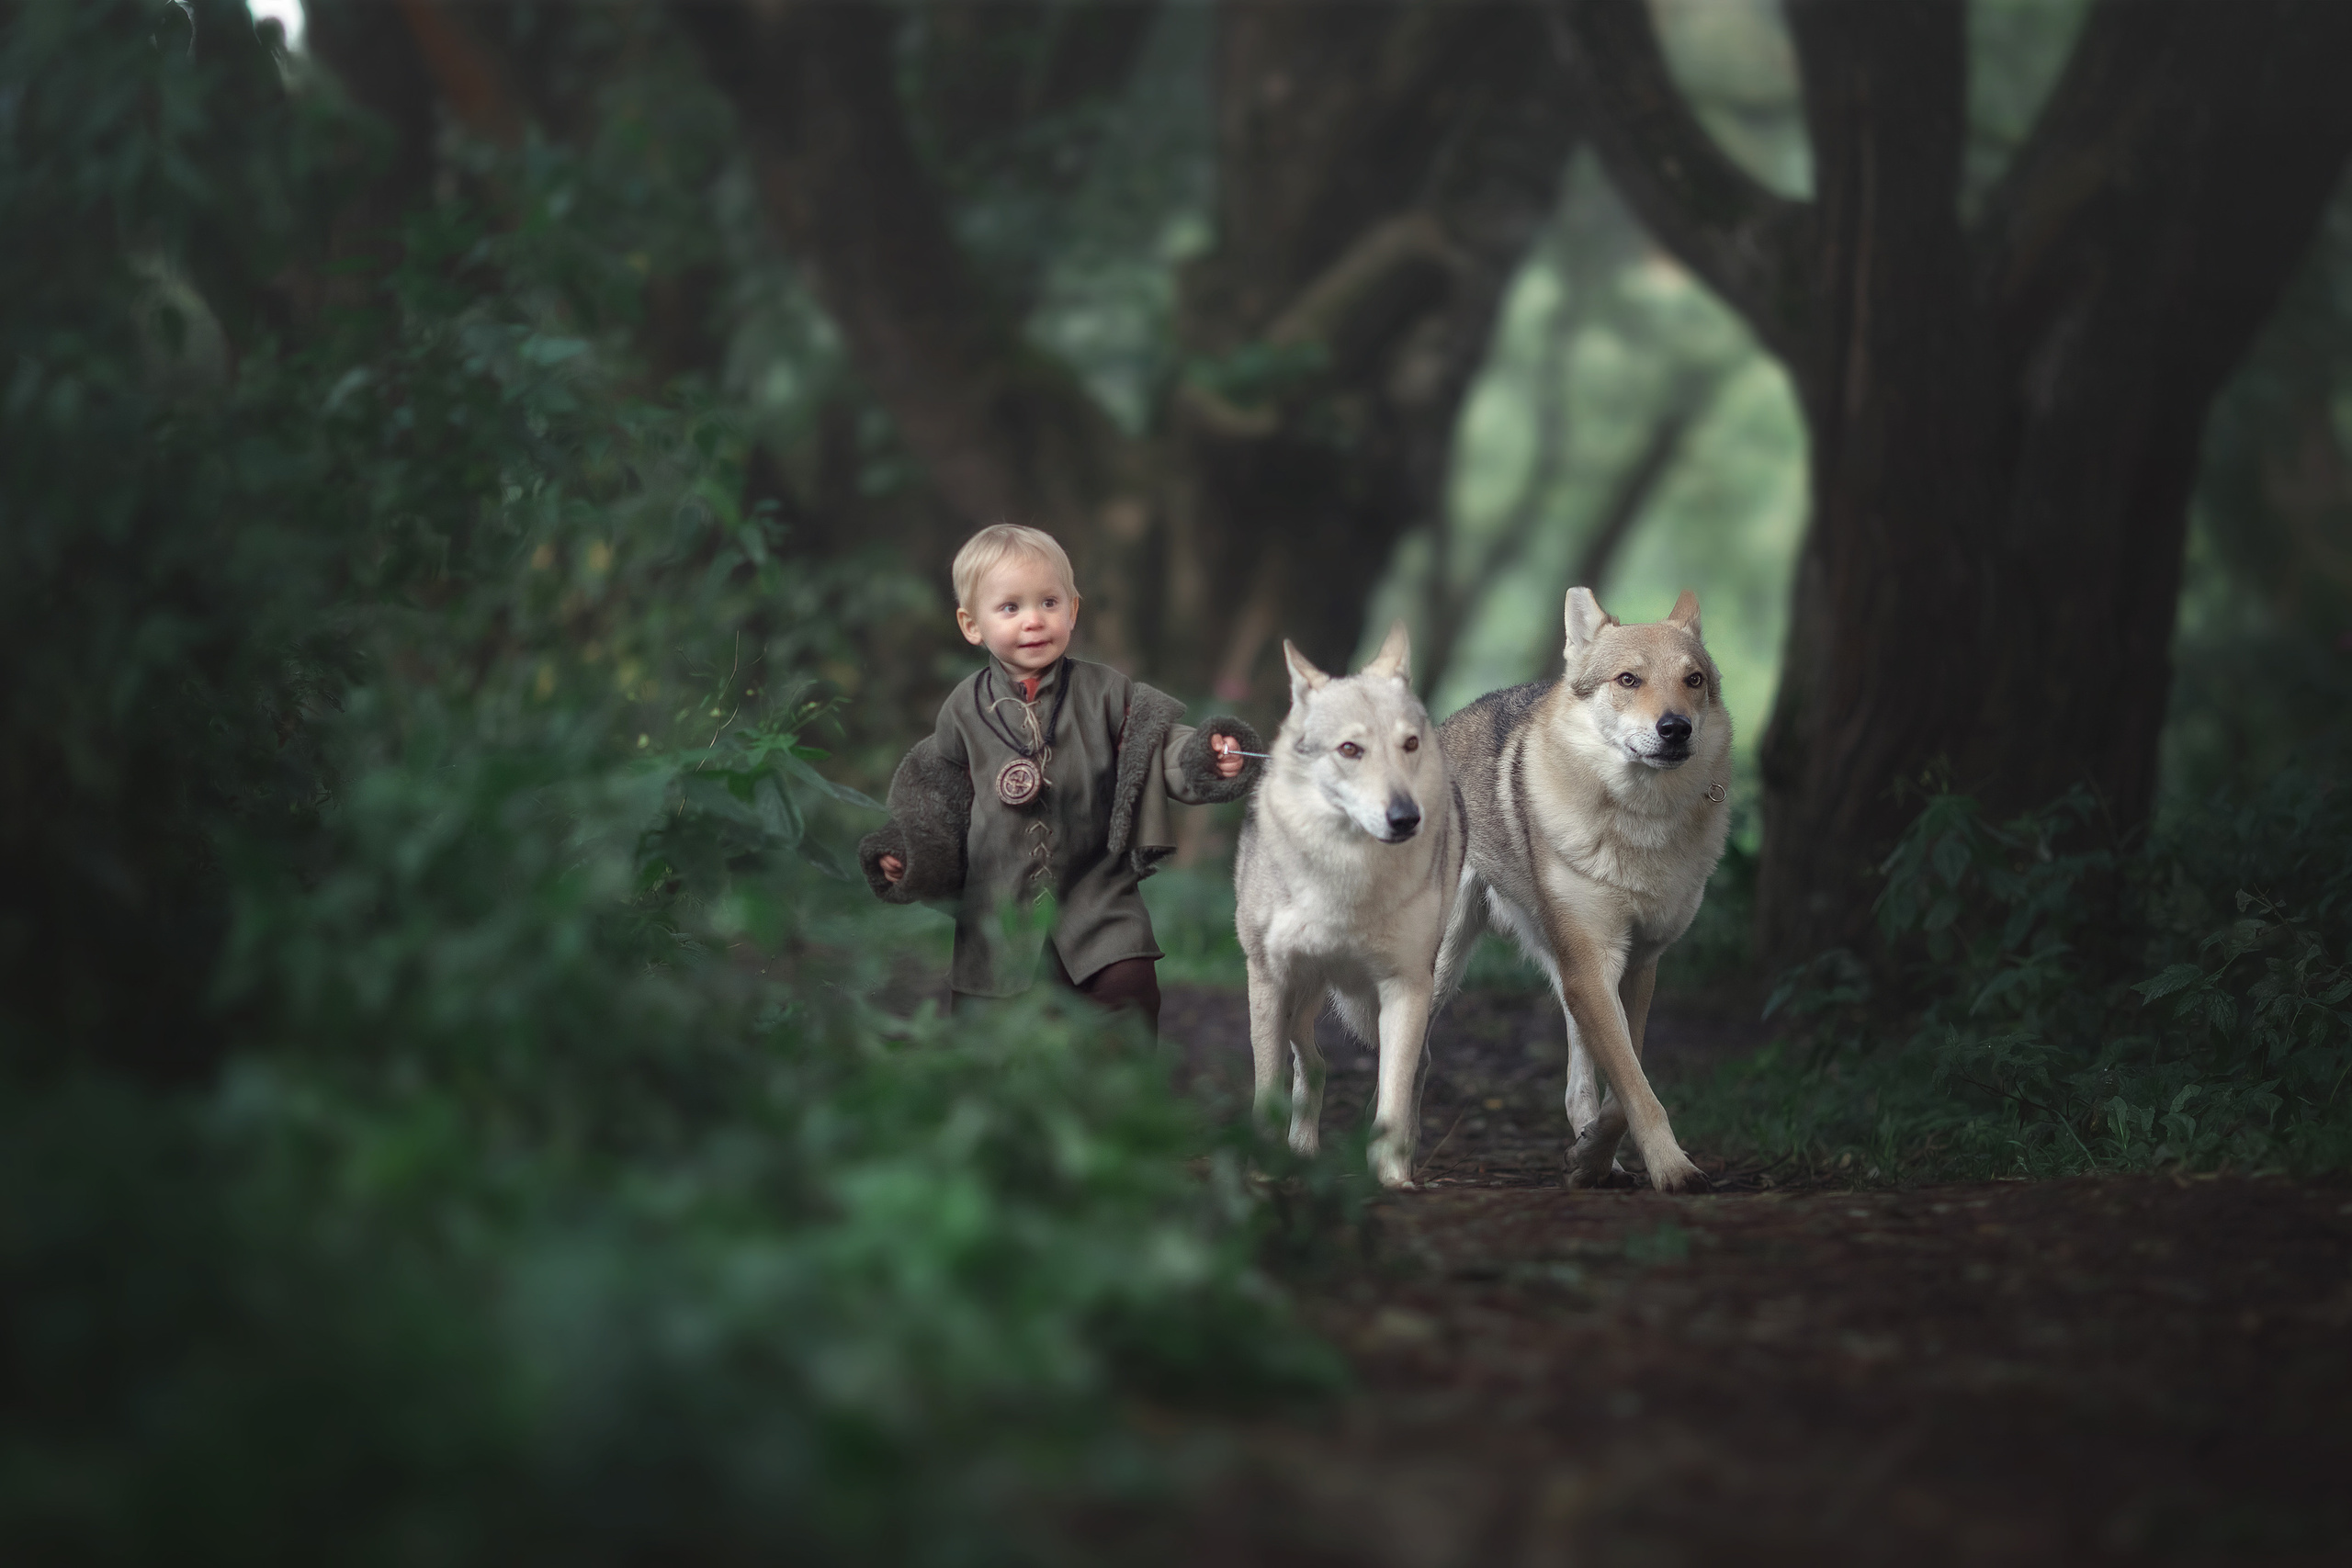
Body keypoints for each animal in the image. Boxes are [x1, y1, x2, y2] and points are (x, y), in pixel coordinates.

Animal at [1234, 621, 1467, 1189]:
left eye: (1409, 744)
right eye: (1350, 749)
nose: (1406, 817)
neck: (1347, 880)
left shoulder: (1406, 985)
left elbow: (1393, 1094)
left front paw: (1393, 1179)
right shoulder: (1267, 978)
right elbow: (1268, 1084)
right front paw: (1263, 1172)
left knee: (1413, 1067)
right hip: (1300, 991)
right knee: (1310, 1062)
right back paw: (1300, 1150)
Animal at [1432, 588, 1731, 1193]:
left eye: (1693, 680)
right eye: (1628, 680)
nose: (1676, 728)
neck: (1639, 824)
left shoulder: (1634, 964)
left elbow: (1625, 1087)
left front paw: (1592, 1157)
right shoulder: (1593, 966)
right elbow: (1638, 1089)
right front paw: (1675, 1171)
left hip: (1564, 973)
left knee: (1577, 1086)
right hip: (1440, 970)